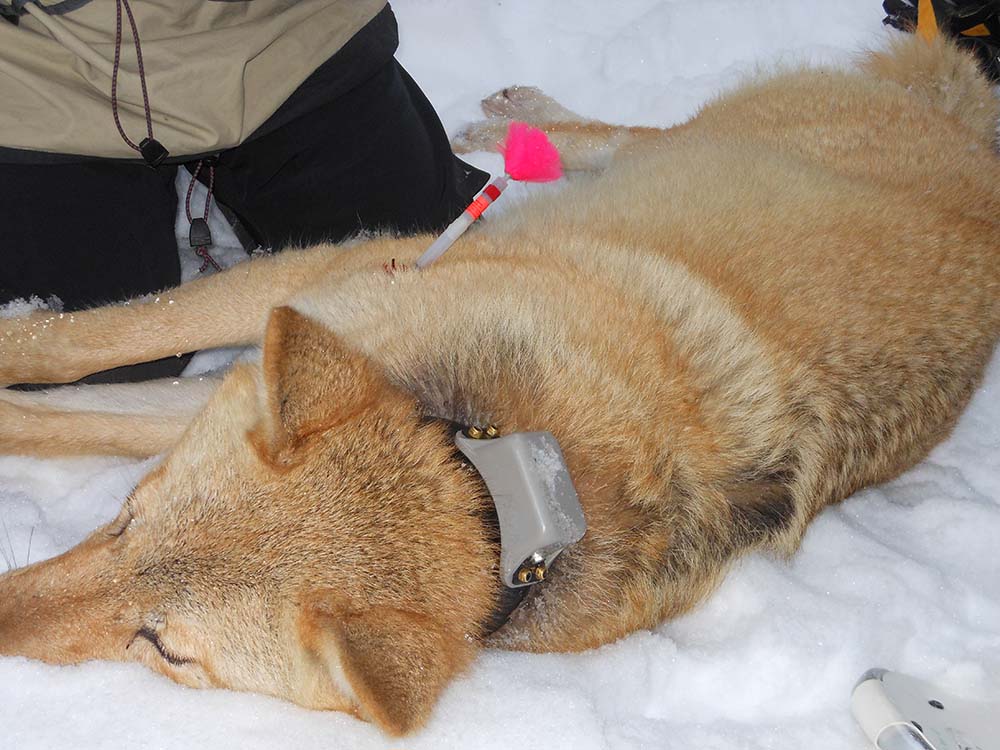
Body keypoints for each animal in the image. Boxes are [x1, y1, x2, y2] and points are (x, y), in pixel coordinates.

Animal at [0, 38, 996, 736]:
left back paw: (526, 131)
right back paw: (522, 130)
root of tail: (978, 156)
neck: (501, 470)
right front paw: (19, 334)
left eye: (162, 646)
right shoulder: (336, 281)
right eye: (125, 518)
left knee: (625, 139)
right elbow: (84, 350)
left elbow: (72, 391)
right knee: (622, 140)